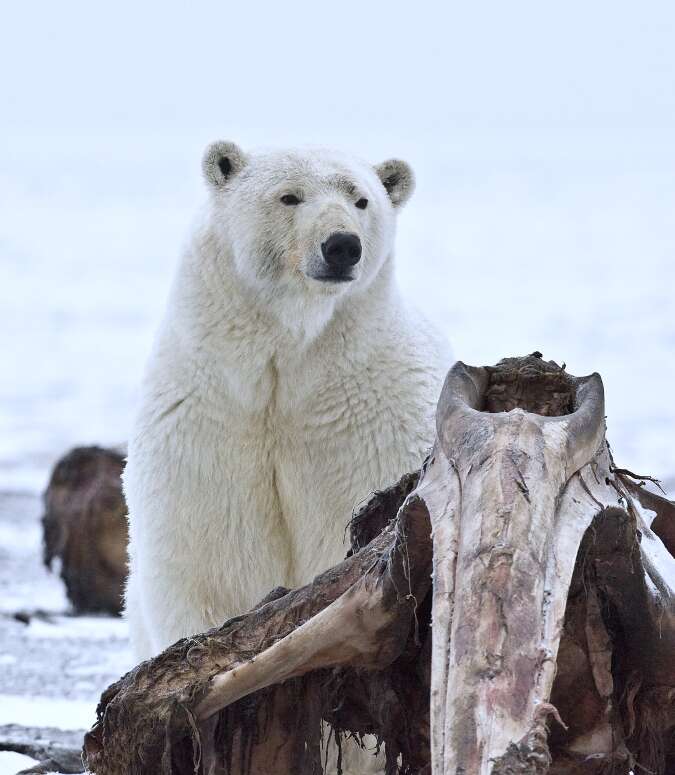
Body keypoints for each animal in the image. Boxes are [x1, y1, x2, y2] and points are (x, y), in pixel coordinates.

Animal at [124, 141, 452, 744]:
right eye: (289, 196)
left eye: (361, 198)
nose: (342, 245)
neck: (290, 365)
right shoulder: (209, 425)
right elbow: (209, 562)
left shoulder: (369, 423)